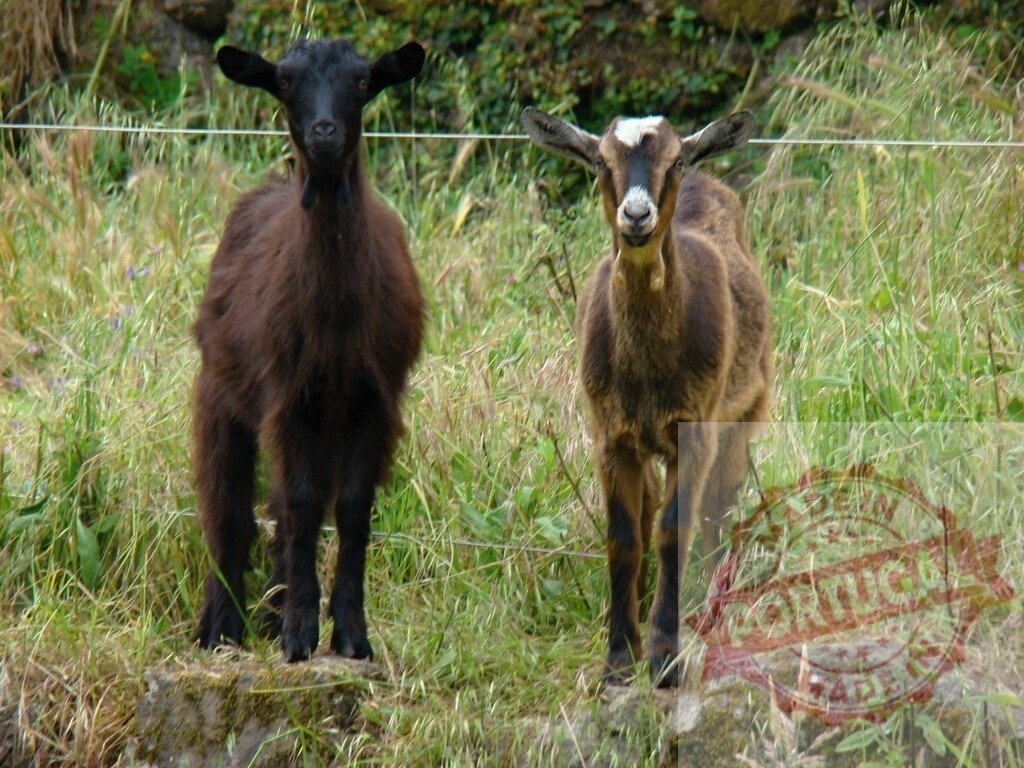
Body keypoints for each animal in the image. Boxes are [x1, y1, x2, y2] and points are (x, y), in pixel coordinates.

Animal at [193, 38, 426, 662]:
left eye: (363, 81)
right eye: (285, 82)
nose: (323, 133)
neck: (335, 327)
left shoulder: (373, 402)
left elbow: (350, 508)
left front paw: (349, 634)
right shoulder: (288, 399)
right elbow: (299, 505)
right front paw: (299, 634)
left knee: (274, 507)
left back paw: (268, 613)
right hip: (220, 394)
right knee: (227, 504)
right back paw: (221, 627)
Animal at [521, 108, 771, 687]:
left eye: (674, 160)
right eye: (599, 160)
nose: (636, 215)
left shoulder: (694, 431)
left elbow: (673, 530)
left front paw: (664, 658)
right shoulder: (609, 435)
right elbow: (625, 535)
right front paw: (618, 656)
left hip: (746, 409)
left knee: (718, 511)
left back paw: (706, 610)